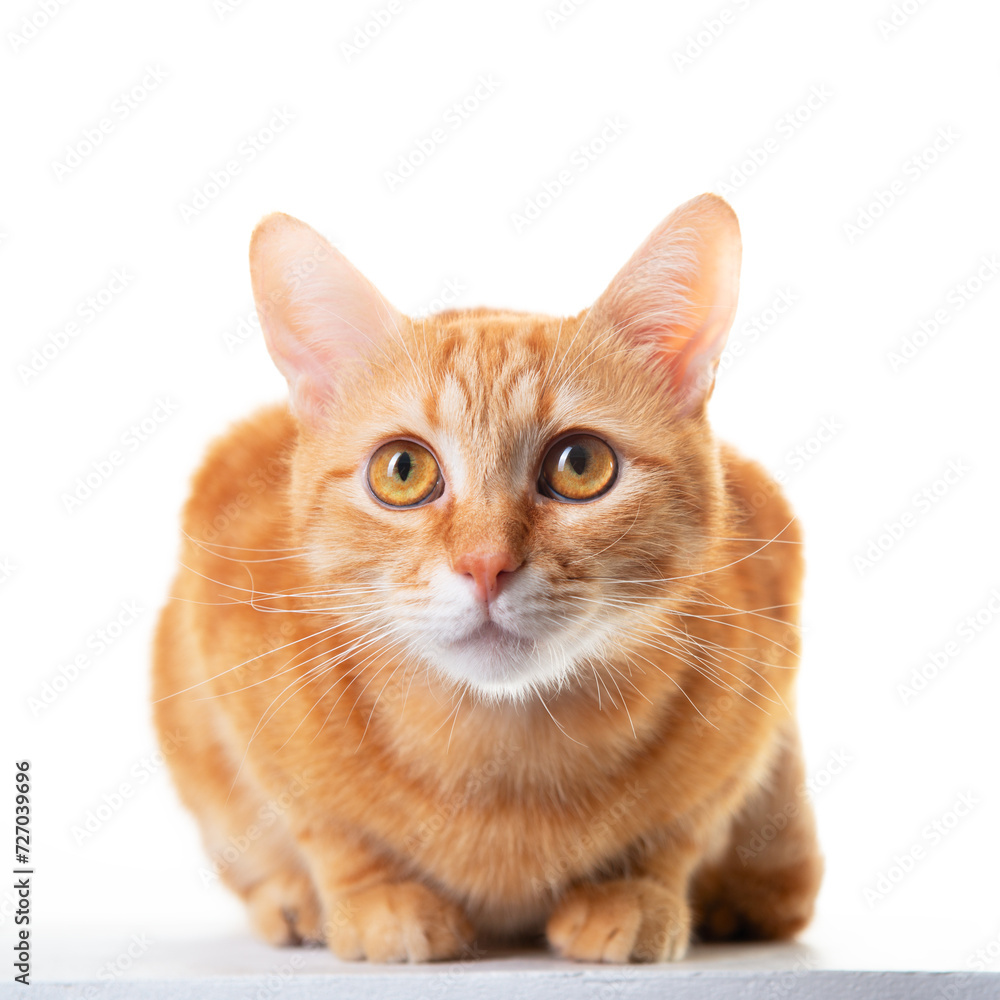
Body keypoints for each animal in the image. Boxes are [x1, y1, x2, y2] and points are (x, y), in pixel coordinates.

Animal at [150, 193, 820, 960]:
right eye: (402, 470)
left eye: (581, 464)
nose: (485, 564)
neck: (505, 759)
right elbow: (324, 823)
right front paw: (375, 898)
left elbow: (685, 823)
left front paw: (635, 890)